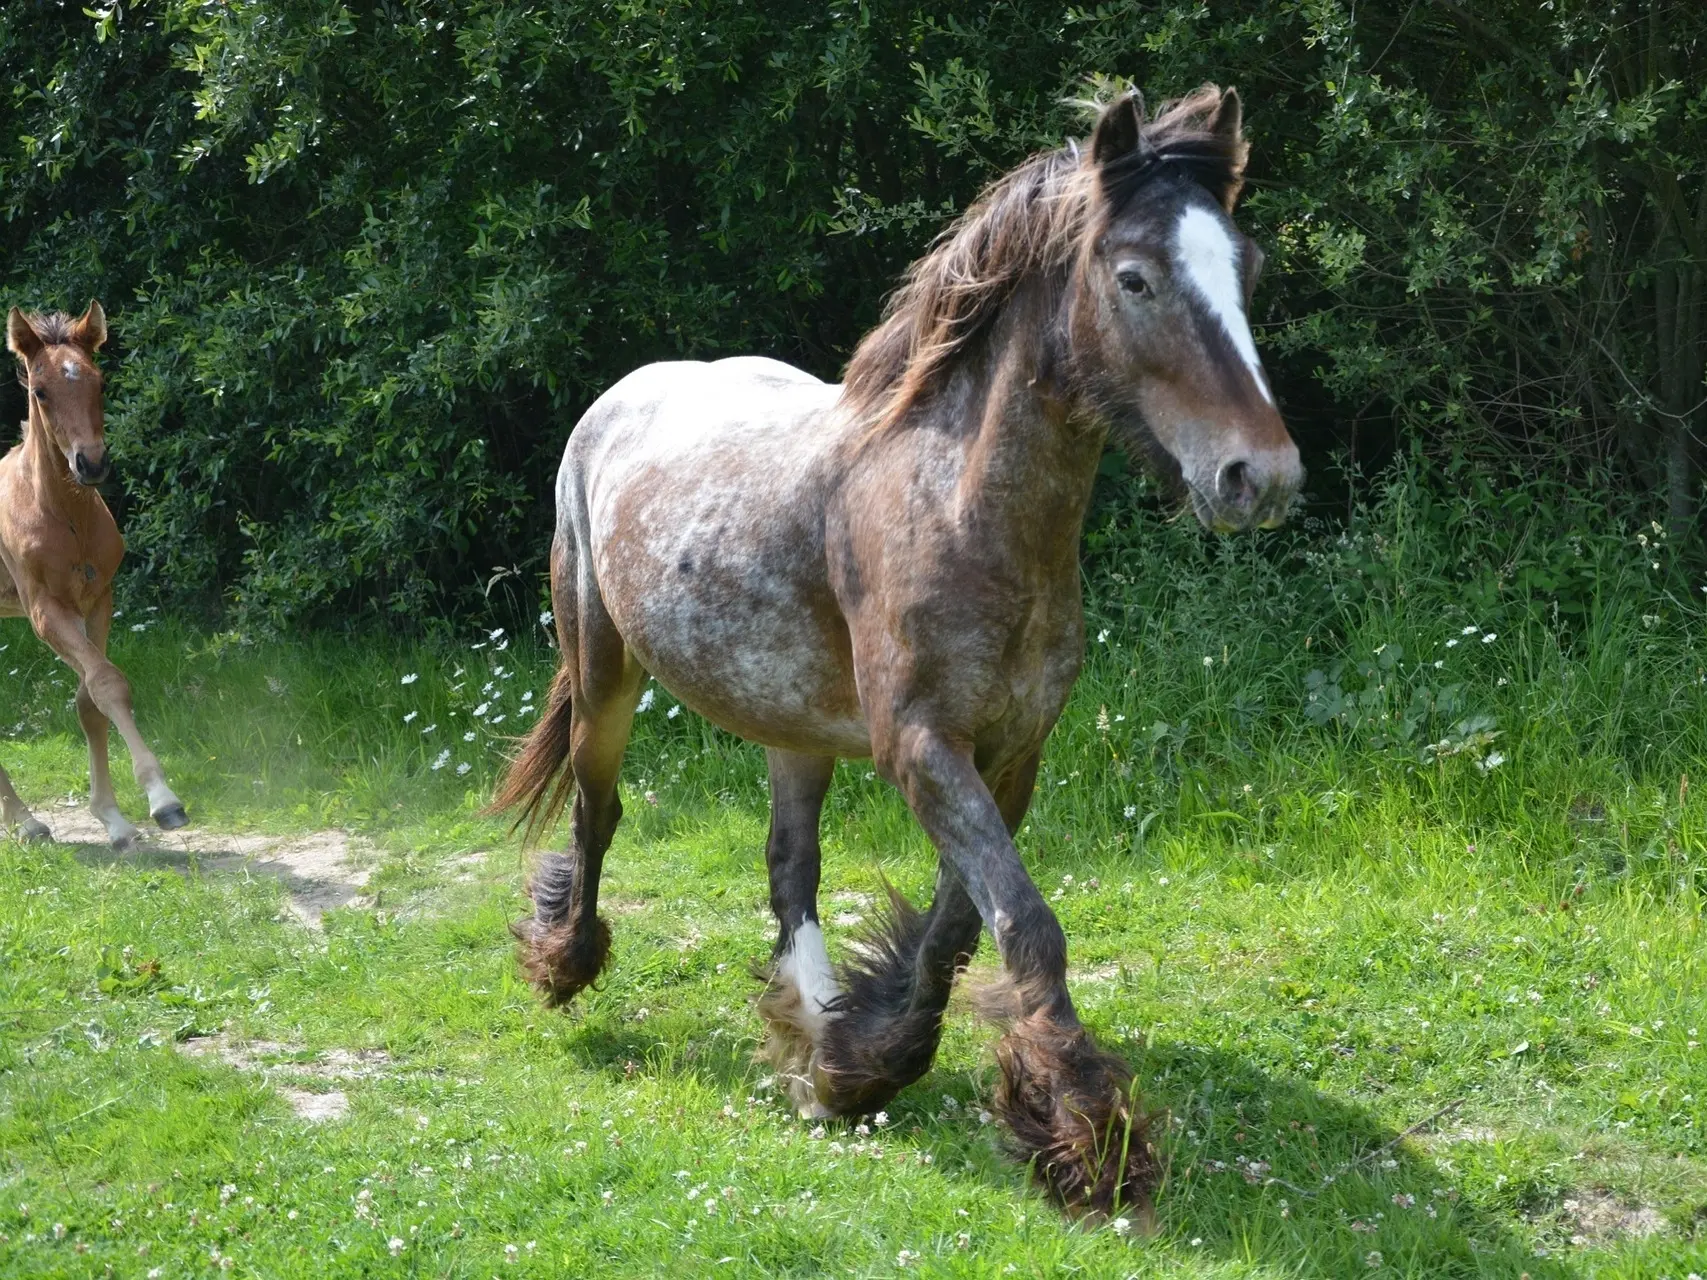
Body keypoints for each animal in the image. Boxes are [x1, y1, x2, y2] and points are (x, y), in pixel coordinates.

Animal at [2, 303, 188, 846]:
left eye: (99, 382)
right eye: (40, 391)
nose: (92, 463)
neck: (64, 516)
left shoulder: (98, 598)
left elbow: (93, 696)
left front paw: (113, 817)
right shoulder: (44, 612)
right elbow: (104, 681)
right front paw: (163, 799)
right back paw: (25, 823)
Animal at [495, 87, 1304, 1215]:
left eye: (1247, 266)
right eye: (1135, 276)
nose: (1259, 476)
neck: (957, 506)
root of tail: (622, 393)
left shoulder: (1009, 754)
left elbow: (964, 927)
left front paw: (857, 1063)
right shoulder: (921, 746)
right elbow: (1027, 924)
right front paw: (1090, 1136)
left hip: (791, 723)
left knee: (789, 864)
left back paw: (805, 1021)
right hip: (604, 665)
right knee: (597, 810)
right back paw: (565, 962)